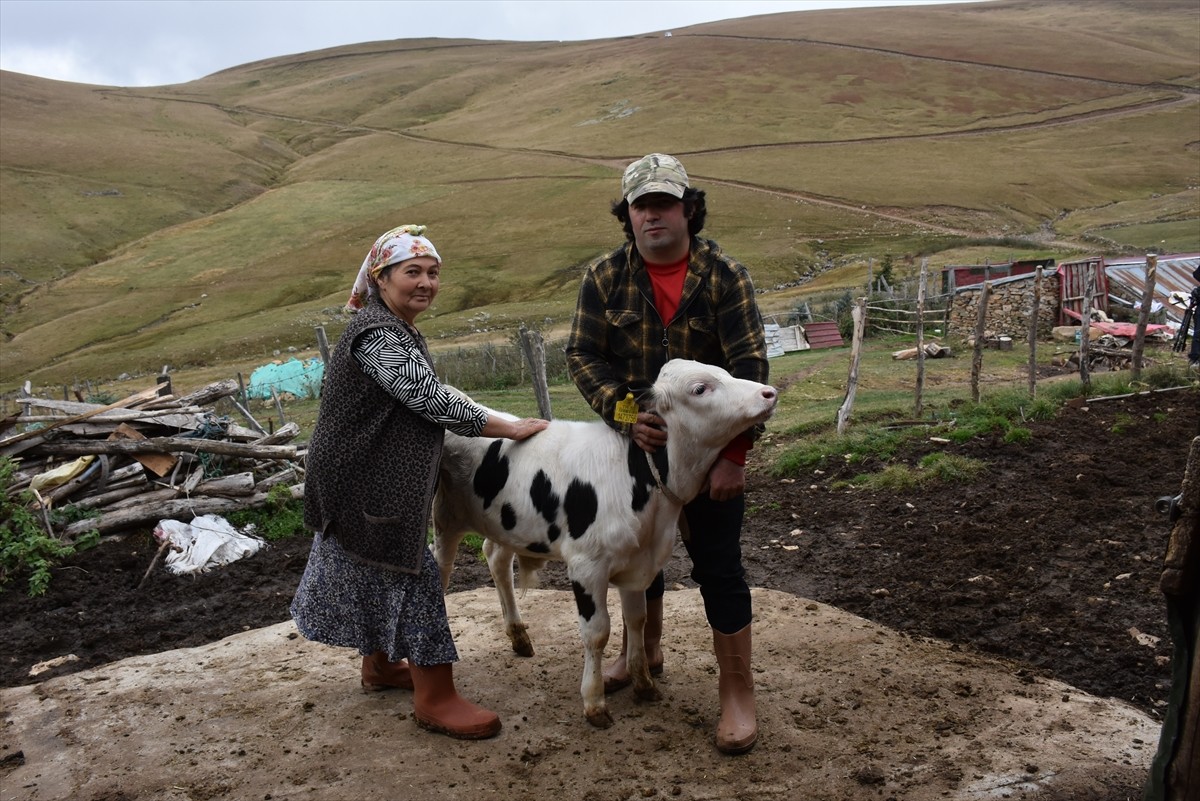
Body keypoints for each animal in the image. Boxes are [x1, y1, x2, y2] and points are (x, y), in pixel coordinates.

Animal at [432, 359, 777, 729]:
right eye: (700, 388)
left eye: (724, 371)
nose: (768, 392)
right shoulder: (587, 566)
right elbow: (597, 632)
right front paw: (594, 702)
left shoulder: (639, 564)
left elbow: (637, 620)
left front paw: (643, 683)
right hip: (445, 520)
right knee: (441, 571)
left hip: (508, 526)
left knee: (495, 558)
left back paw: (519, 636)